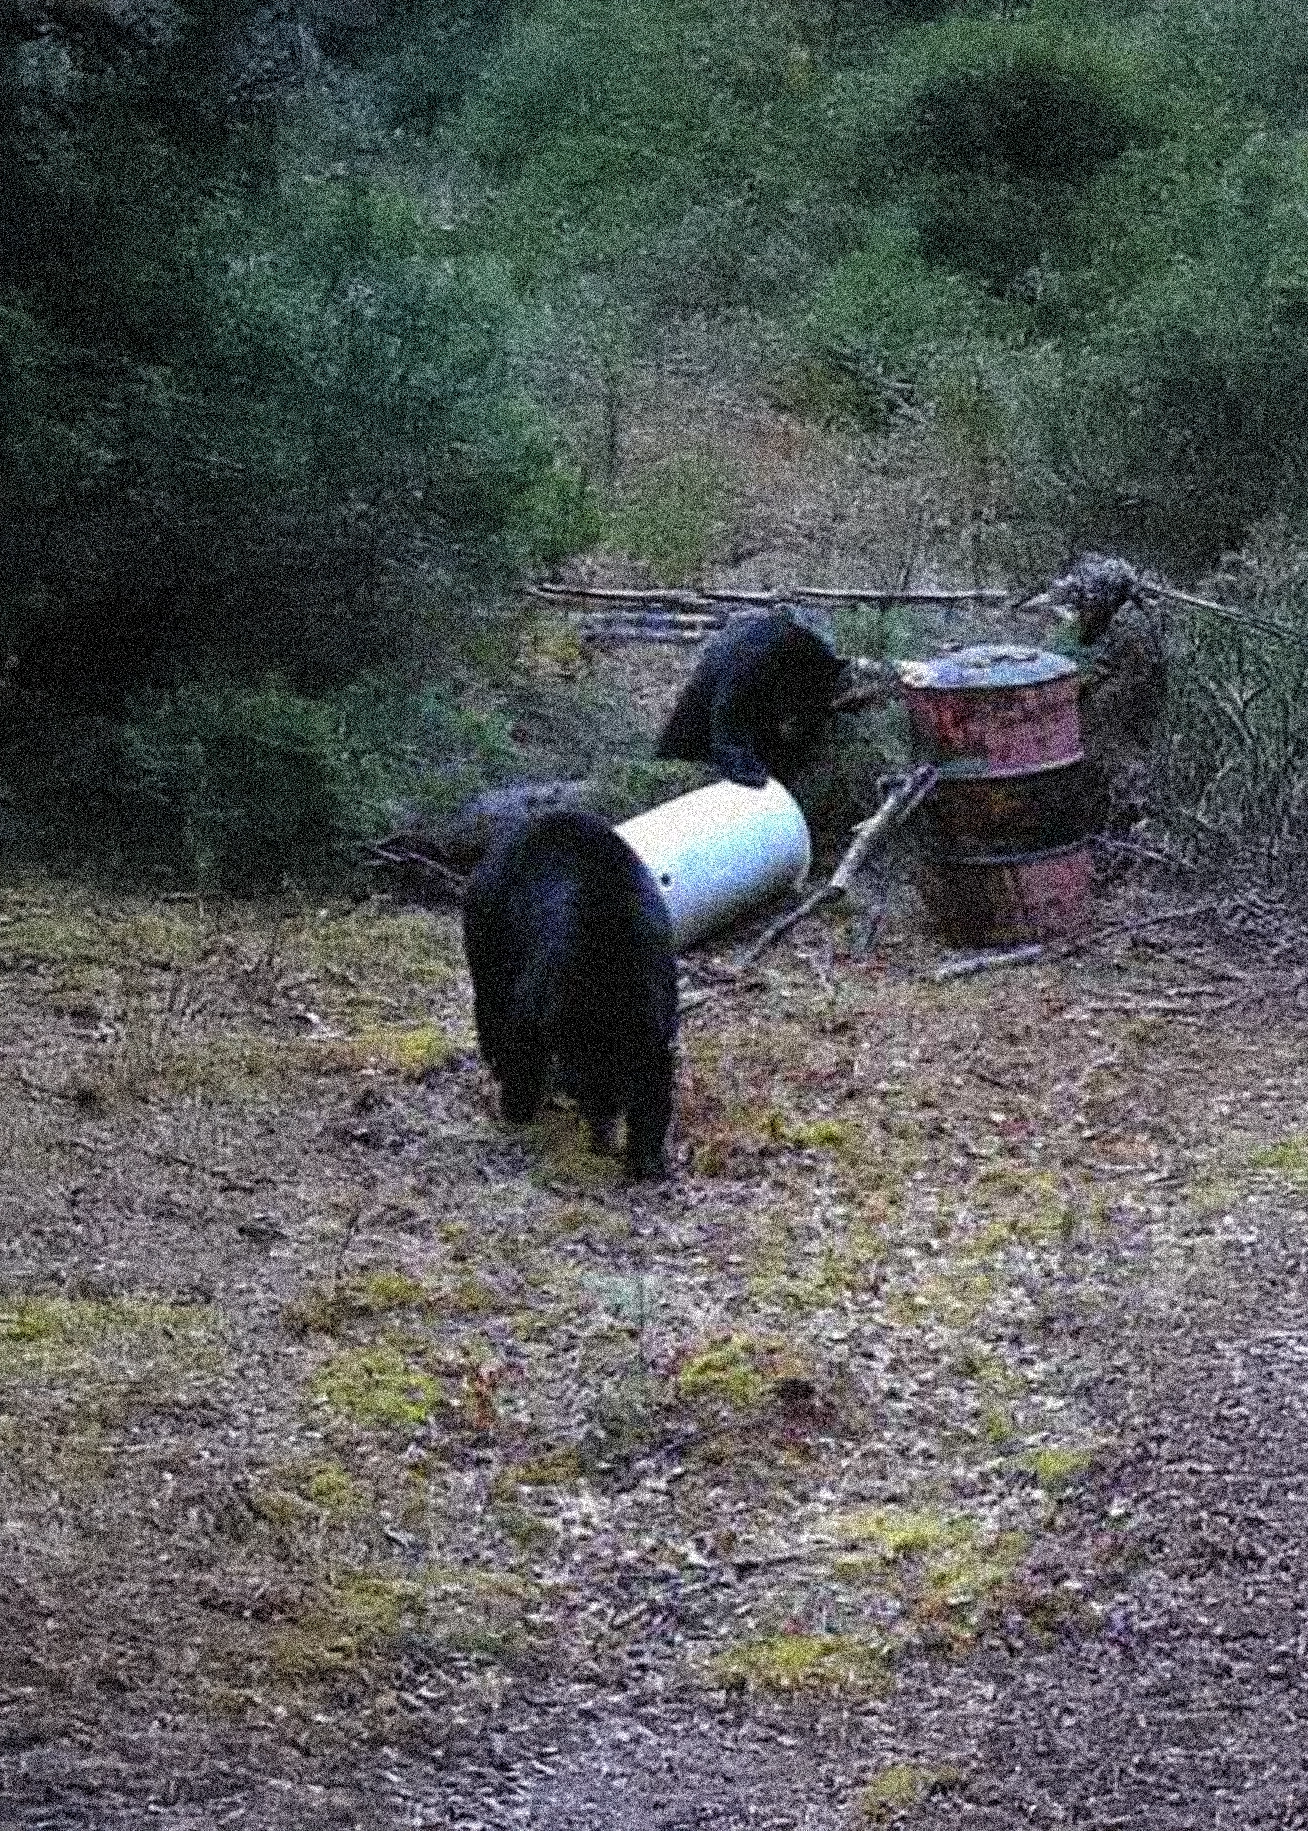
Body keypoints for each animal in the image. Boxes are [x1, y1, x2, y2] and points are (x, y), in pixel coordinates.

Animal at [462, 807, 679, 1180]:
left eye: (617, 1100)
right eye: (589, 1095)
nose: (601, 1141)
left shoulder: (658, 994)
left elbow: (655, 1074)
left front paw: (644, 1156)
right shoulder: (546, 982)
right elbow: (522, 1035)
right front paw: (516, 1106)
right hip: (491, 921)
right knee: (491, 996)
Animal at [655, 609, 850, 790]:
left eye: (816, 702)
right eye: (799, 696)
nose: (794, 726)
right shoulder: (748, 671)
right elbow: (733, 717)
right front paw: (750, 770)